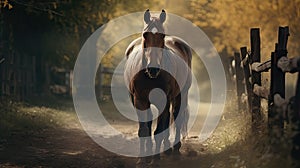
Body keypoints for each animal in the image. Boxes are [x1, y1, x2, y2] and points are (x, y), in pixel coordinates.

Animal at [124, 9, 192, 167]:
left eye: (162, 35)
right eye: (145, 35)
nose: (153, 68)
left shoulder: (163, 101)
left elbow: (158, 131)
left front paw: (155, 160)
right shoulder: (140, 101)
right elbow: (144, 130)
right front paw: (142, 158)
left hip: (181, 95)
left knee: (176, 118)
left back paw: (174, 151)